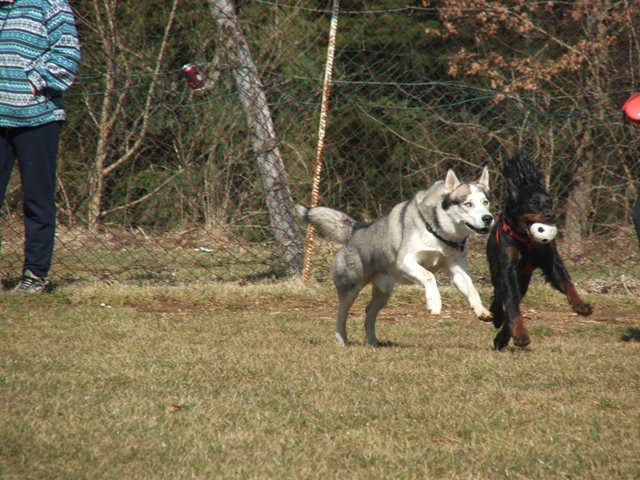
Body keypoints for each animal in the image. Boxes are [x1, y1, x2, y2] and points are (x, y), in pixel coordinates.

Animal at [298, 169, 492, 344]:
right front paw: (435, 304)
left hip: (384, 292)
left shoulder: (456, 269)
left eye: (486, 202)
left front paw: (481, 310)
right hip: (350, 288)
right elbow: (429, 276)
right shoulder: (405, 261)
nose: (488, 218)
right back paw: (341, 340)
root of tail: (355, 230)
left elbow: (471, 288)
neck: (440, 232)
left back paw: (372, 341)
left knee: (369, 311)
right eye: (467, 204)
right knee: (341, 313)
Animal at [488, 154, 592, 348]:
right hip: (496, 270)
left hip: (523, 280)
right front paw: (521, 335)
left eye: (549, 202)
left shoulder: (551, 259)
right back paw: (497, 317)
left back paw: (502, 338)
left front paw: (580, 305)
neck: (527, 240)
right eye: (533, 203)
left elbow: (567, 282)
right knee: (500, 295)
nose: (551, 214)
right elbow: (512, 304)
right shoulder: (508, 268)